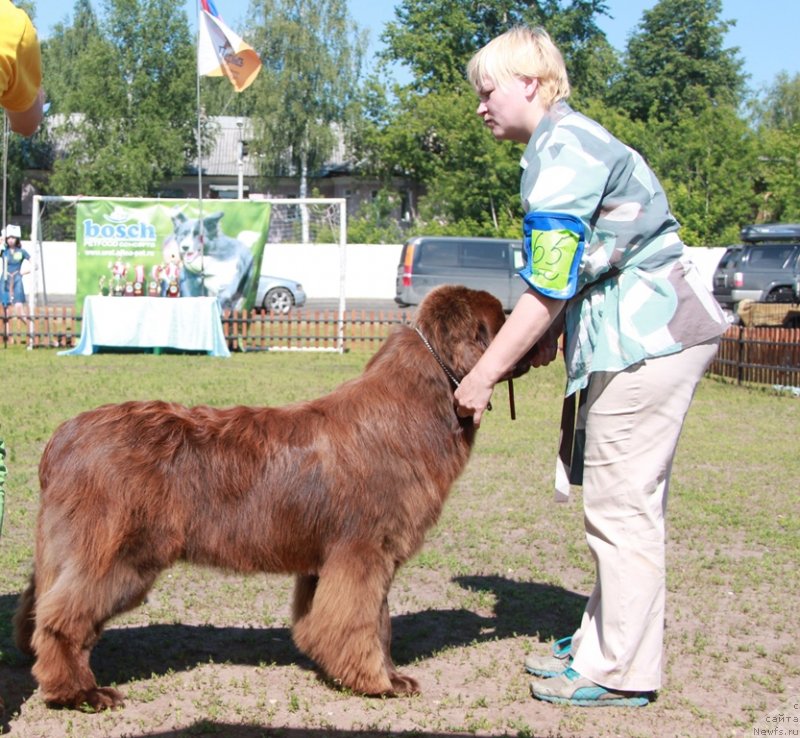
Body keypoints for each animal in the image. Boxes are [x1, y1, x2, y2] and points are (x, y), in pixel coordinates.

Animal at [14, 284, 524, 708]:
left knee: (38, 607)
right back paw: (79, 692)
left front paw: (366, 671)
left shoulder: (329, 560)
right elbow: (364, 621)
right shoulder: (364, 551)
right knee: (61, 618)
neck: (419, 406)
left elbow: (345, 620)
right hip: (119, 553)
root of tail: (64, 435)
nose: (531, 334)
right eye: (501, 319)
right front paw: (379, 683)